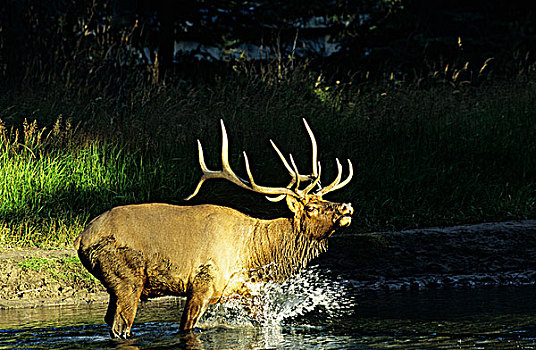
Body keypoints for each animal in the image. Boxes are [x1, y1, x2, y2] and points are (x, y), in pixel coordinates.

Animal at [74, 119, 352, 338]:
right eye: (311, 207)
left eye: (325, 199)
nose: (346, 206)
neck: (253, 252)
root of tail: (82, 239)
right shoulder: (202, 284)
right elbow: (186, 327)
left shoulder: (243, 290)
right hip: (126, 278)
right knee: (120, 326)